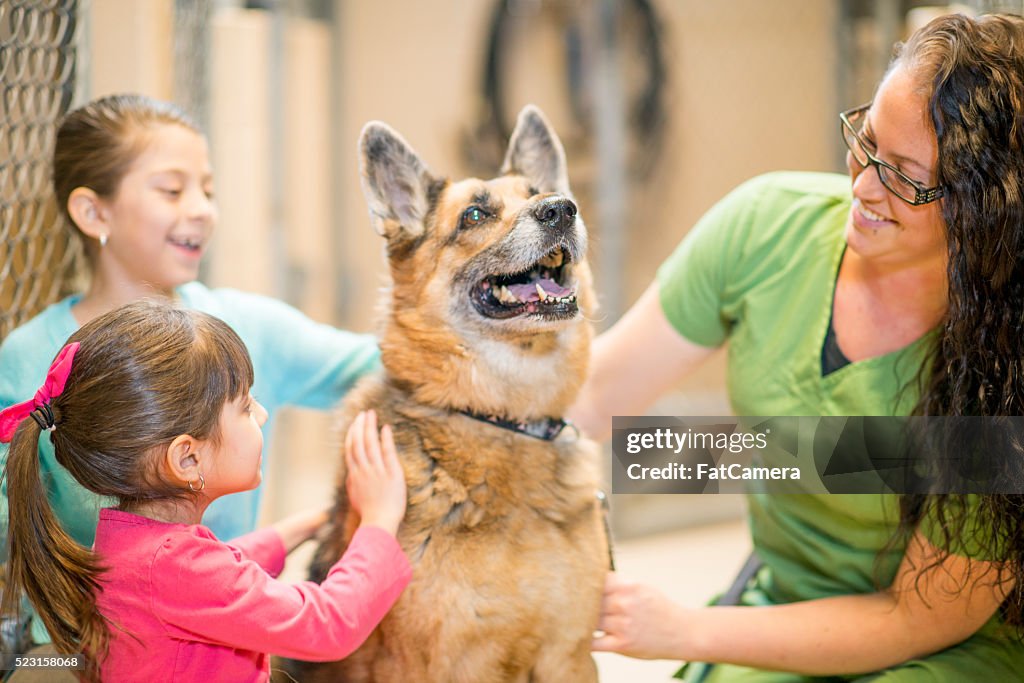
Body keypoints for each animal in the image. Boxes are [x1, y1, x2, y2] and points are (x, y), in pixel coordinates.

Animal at [288, 107, 606, 683]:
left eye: (539, 193)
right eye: (475, 215)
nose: (561, 209)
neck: (499, 417)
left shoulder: (569, 657)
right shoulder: (430, 665)